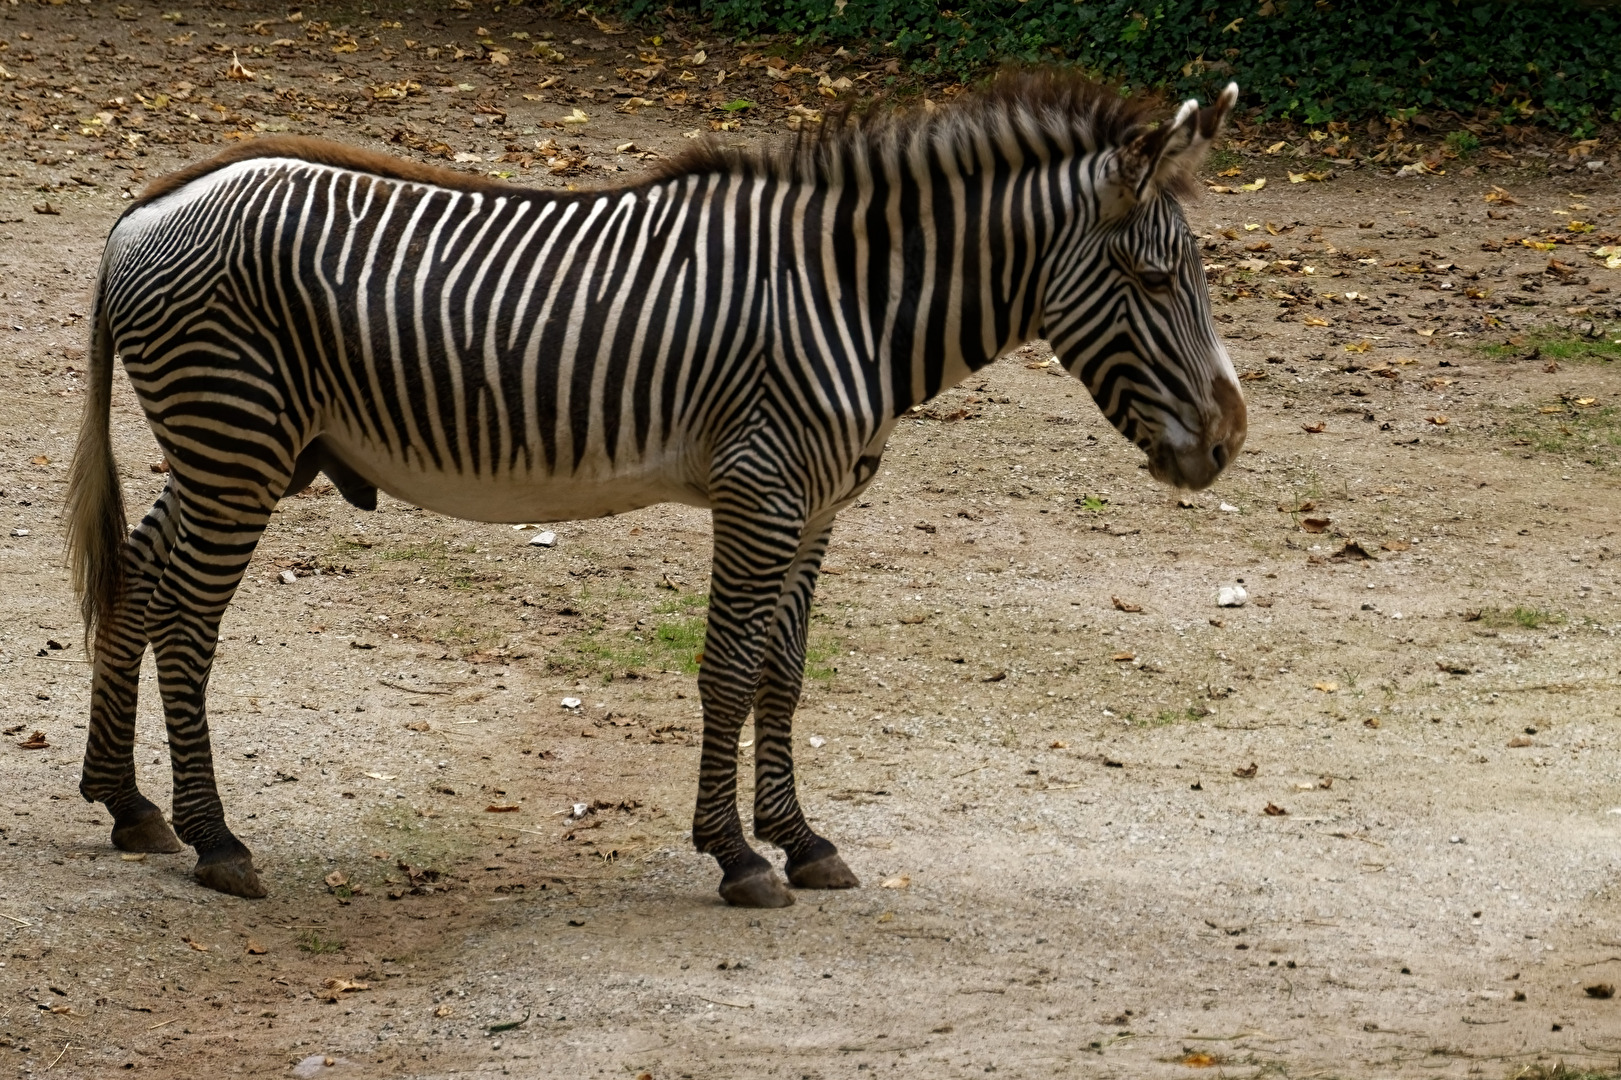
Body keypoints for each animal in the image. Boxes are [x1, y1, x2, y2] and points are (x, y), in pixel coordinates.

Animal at [66, 71, 1245, 908]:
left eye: (1187, 277)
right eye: (1153, 281)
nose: (1230, 440)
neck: (856, 302)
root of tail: (146, 206)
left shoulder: (817, 507)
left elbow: (783, 676)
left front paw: (800, 839)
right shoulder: (763, 490)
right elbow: (726, 672)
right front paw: (735, 856)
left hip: (226, 450)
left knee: (134, 577)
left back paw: (126, 804)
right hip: (237, 442)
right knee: (189, 620)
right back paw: (215, 838)